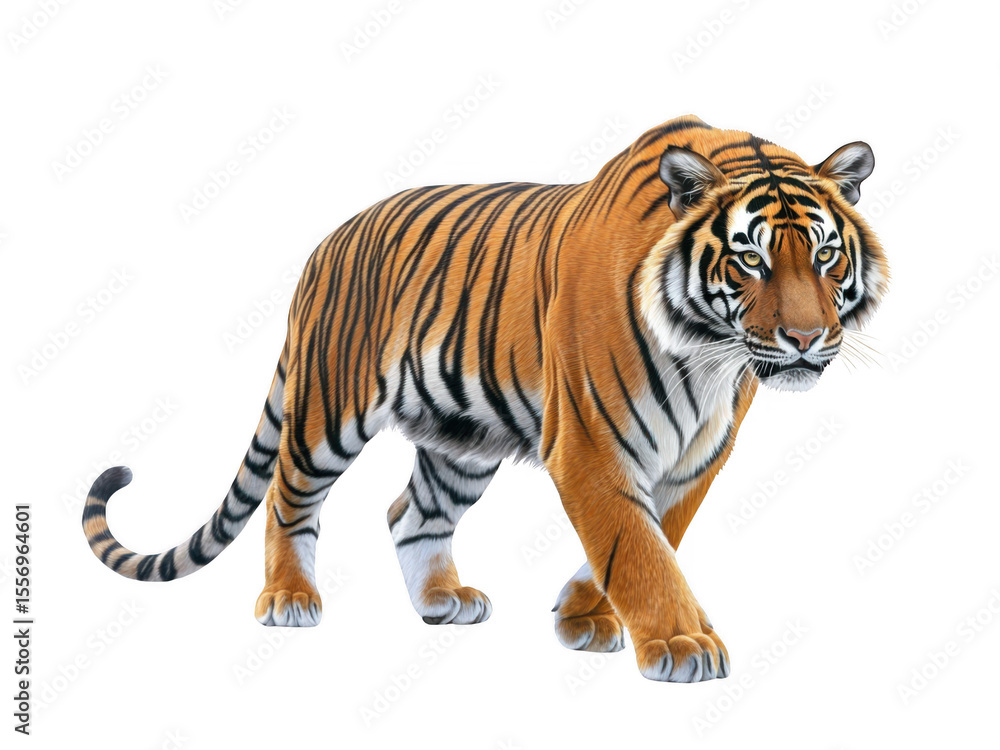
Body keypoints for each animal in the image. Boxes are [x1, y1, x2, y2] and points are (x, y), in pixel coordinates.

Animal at [83, 114, 888, 683]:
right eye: (751, 257)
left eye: (825, 254)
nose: (805, 338)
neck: (708, 356)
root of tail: (326, 244)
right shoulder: (590, 446)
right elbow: (637, 547)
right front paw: (683, 642)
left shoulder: (697, 455)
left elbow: (658, 534)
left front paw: (582, 613)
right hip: (328, 411)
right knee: (287, 495)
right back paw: (288, 599)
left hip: (460, 438)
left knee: (410, 514)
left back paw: (443, 601)